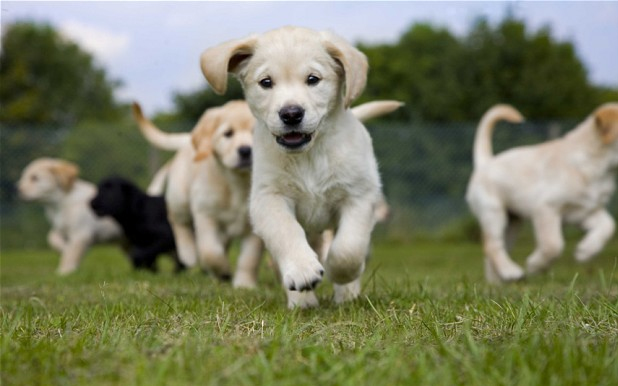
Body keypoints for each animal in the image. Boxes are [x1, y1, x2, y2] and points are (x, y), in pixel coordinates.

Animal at [466, 103, 616, 284]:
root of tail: (486, 163)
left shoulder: (585, 210)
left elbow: (608, 226)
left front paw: (586, 251)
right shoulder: (546, 209)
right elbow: (553, 244)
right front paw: (536, 266)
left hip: (512, 222)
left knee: (497, 250)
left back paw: (497, 281)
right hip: (493, 213)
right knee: (492, 246)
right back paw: (511, 272)